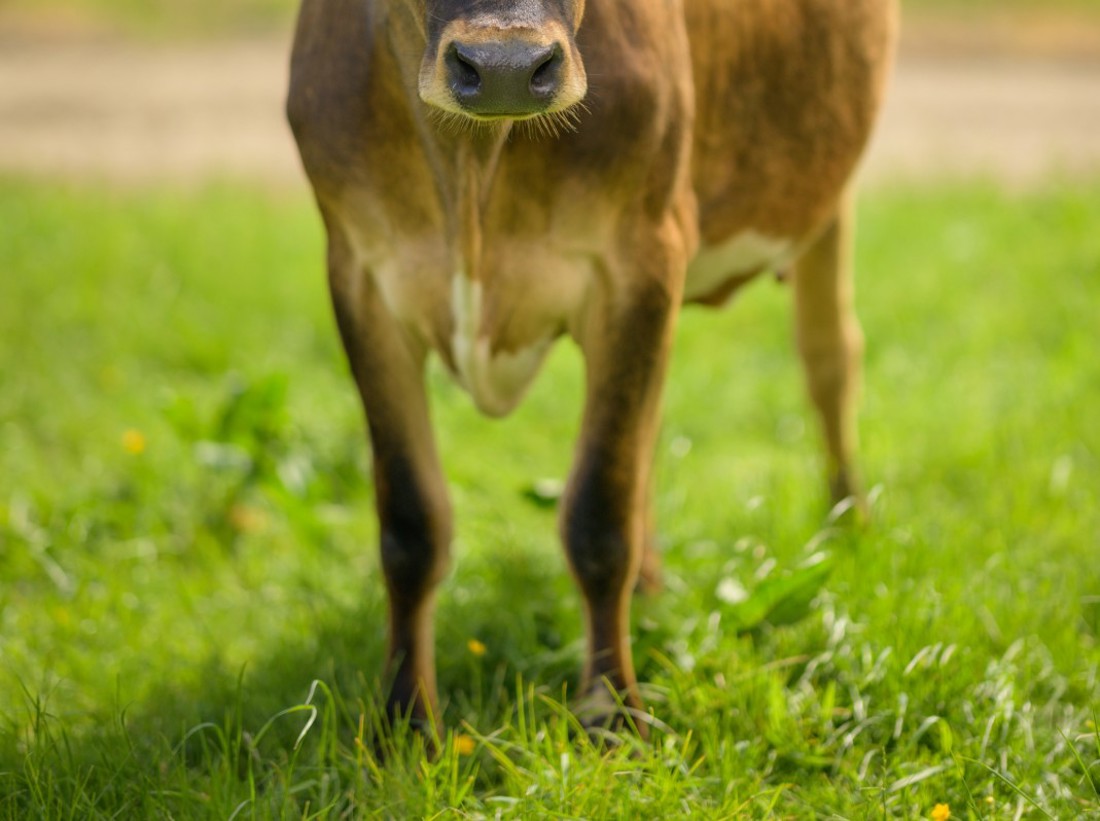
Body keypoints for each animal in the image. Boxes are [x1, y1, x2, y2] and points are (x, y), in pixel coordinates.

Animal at [286, 0, 898, 734]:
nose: (505, 69)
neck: (471, 170)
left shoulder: (639, 263)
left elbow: (598, 517)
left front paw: (611, 713)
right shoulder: (361, 277)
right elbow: (410, 523)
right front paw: (405, 721)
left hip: (825, 200)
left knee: (830, 357)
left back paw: (848, 525)